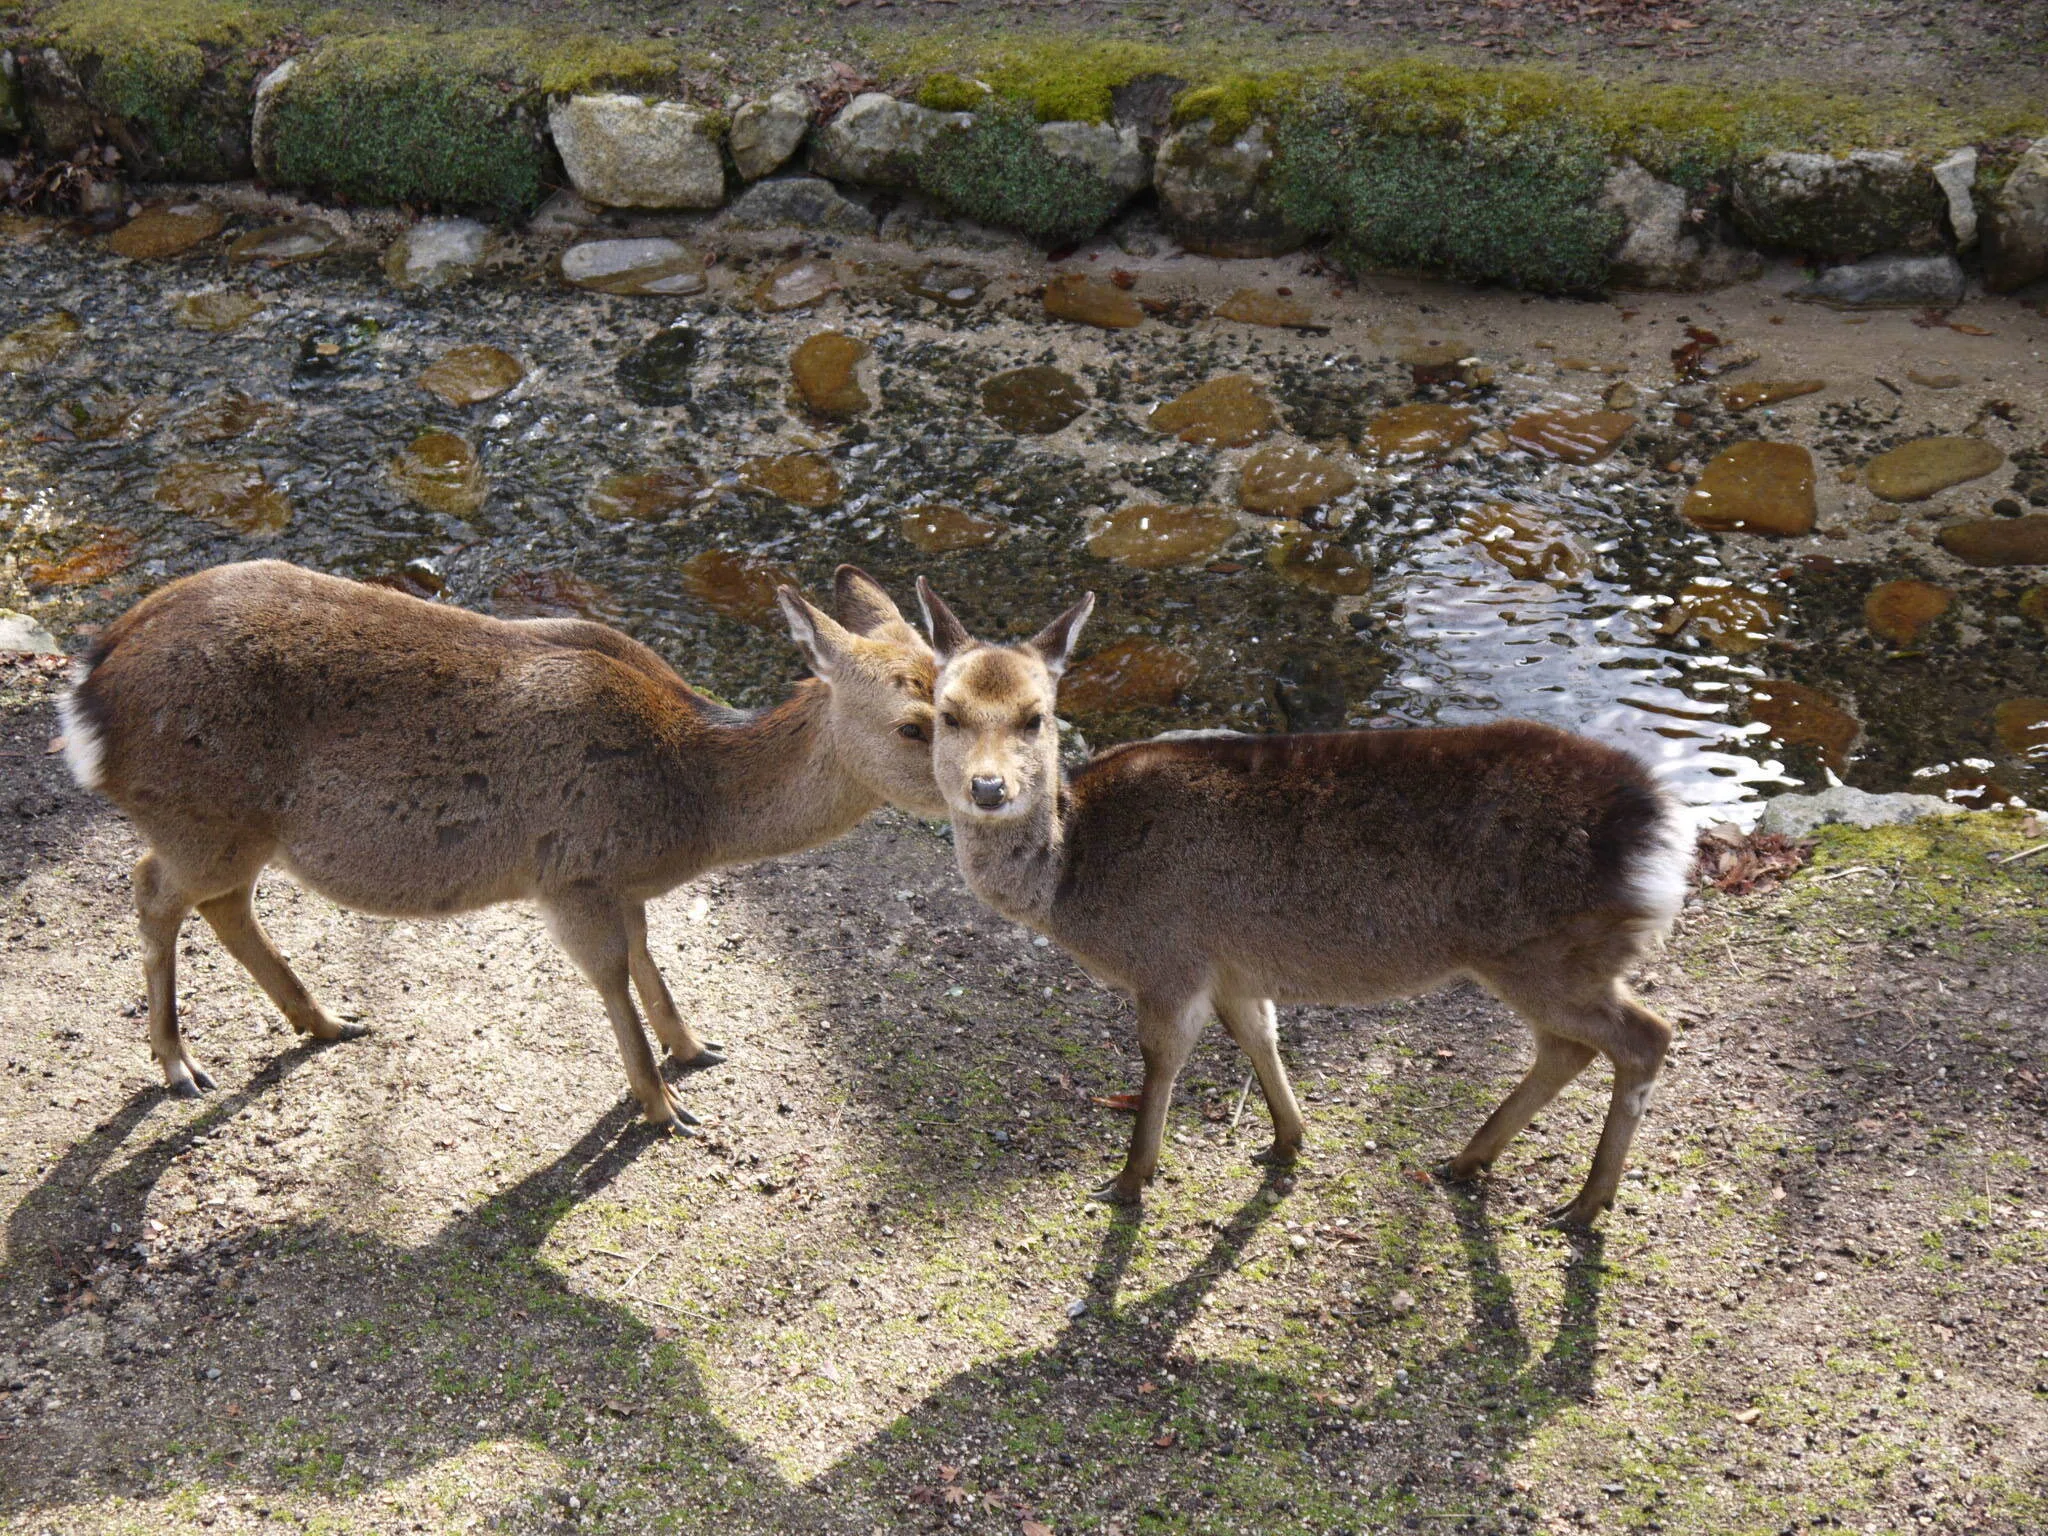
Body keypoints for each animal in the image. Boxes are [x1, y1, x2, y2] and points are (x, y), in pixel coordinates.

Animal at [60, 558, 945, 1133]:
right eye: (916, 724)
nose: (980, 791)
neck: (688, 800)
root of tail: (86, 697)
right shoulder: (574, 873)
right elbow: (613, 975)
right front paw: (663, 1109)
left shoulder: (615, 882)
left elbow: (649, 959)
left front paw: (695, 1049)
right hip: (202, 820)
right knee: (150, 888)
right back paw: (180, 1066)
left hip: (237, 834)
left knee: (221, 906)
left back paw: (328, 1022)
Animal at [913, 578, 1693, 1227]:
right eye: (946, 714)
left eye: (1035, 716)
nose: (989, 788)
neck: (1075, 873)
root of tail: (1664, 835)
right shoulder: (1232, 966)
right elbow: (1260, 1033)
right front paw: (1287, 1140)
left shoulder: (1170, 961)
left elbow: (1161, 1062)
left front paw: (1130, 1180)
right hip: (1553, 959)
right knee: (1571, 1045)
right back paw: (1469, 1161)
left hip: (1546, 952)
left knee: (1645, 1035)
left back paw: (1584, 1205)